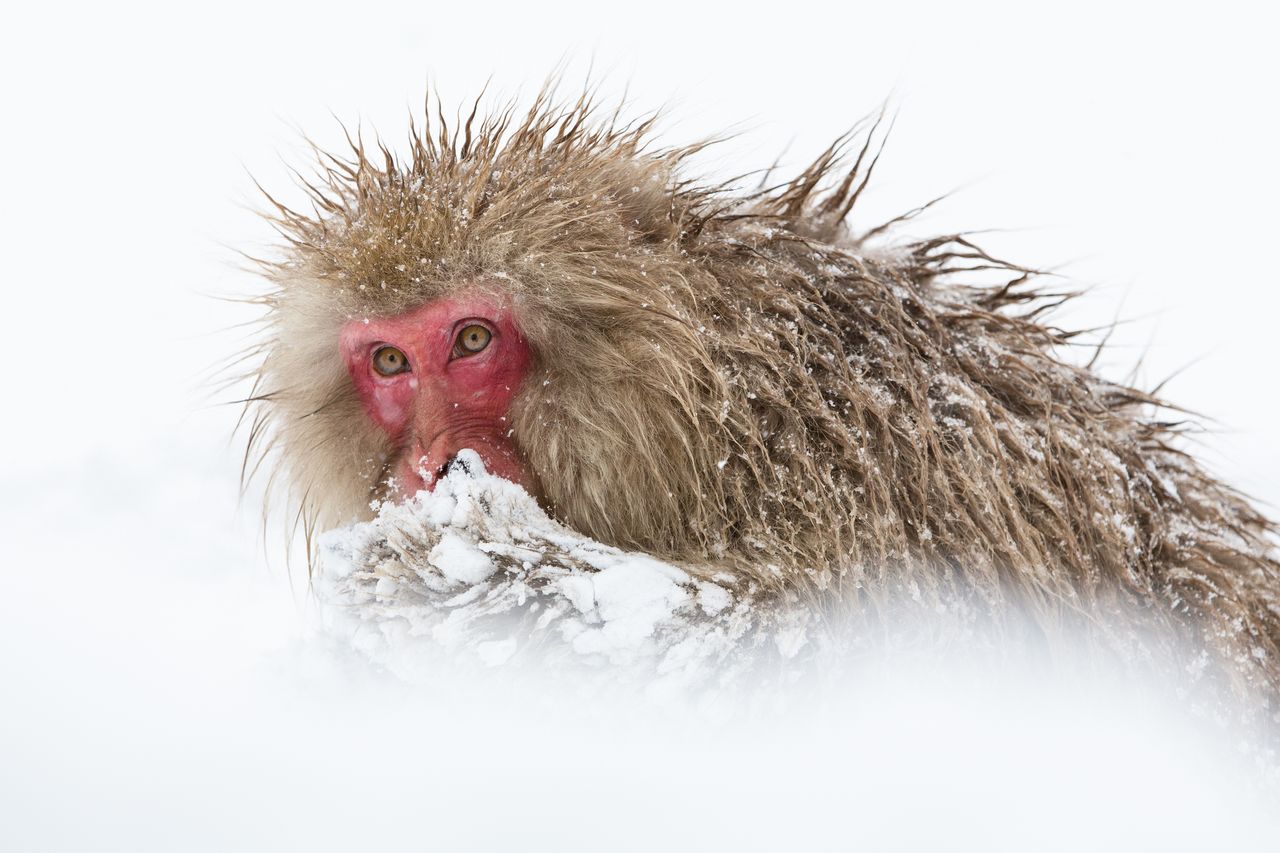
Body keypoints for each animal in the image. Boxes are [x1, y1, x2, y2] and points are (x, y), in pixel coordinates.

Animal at [243, 88, 1280, 708]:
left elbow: (831, 654)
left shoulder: (839, 467)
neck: (710, 404)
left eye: (469, 340)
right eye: (388, 362)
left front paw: (444, 573)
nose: (428, 463)